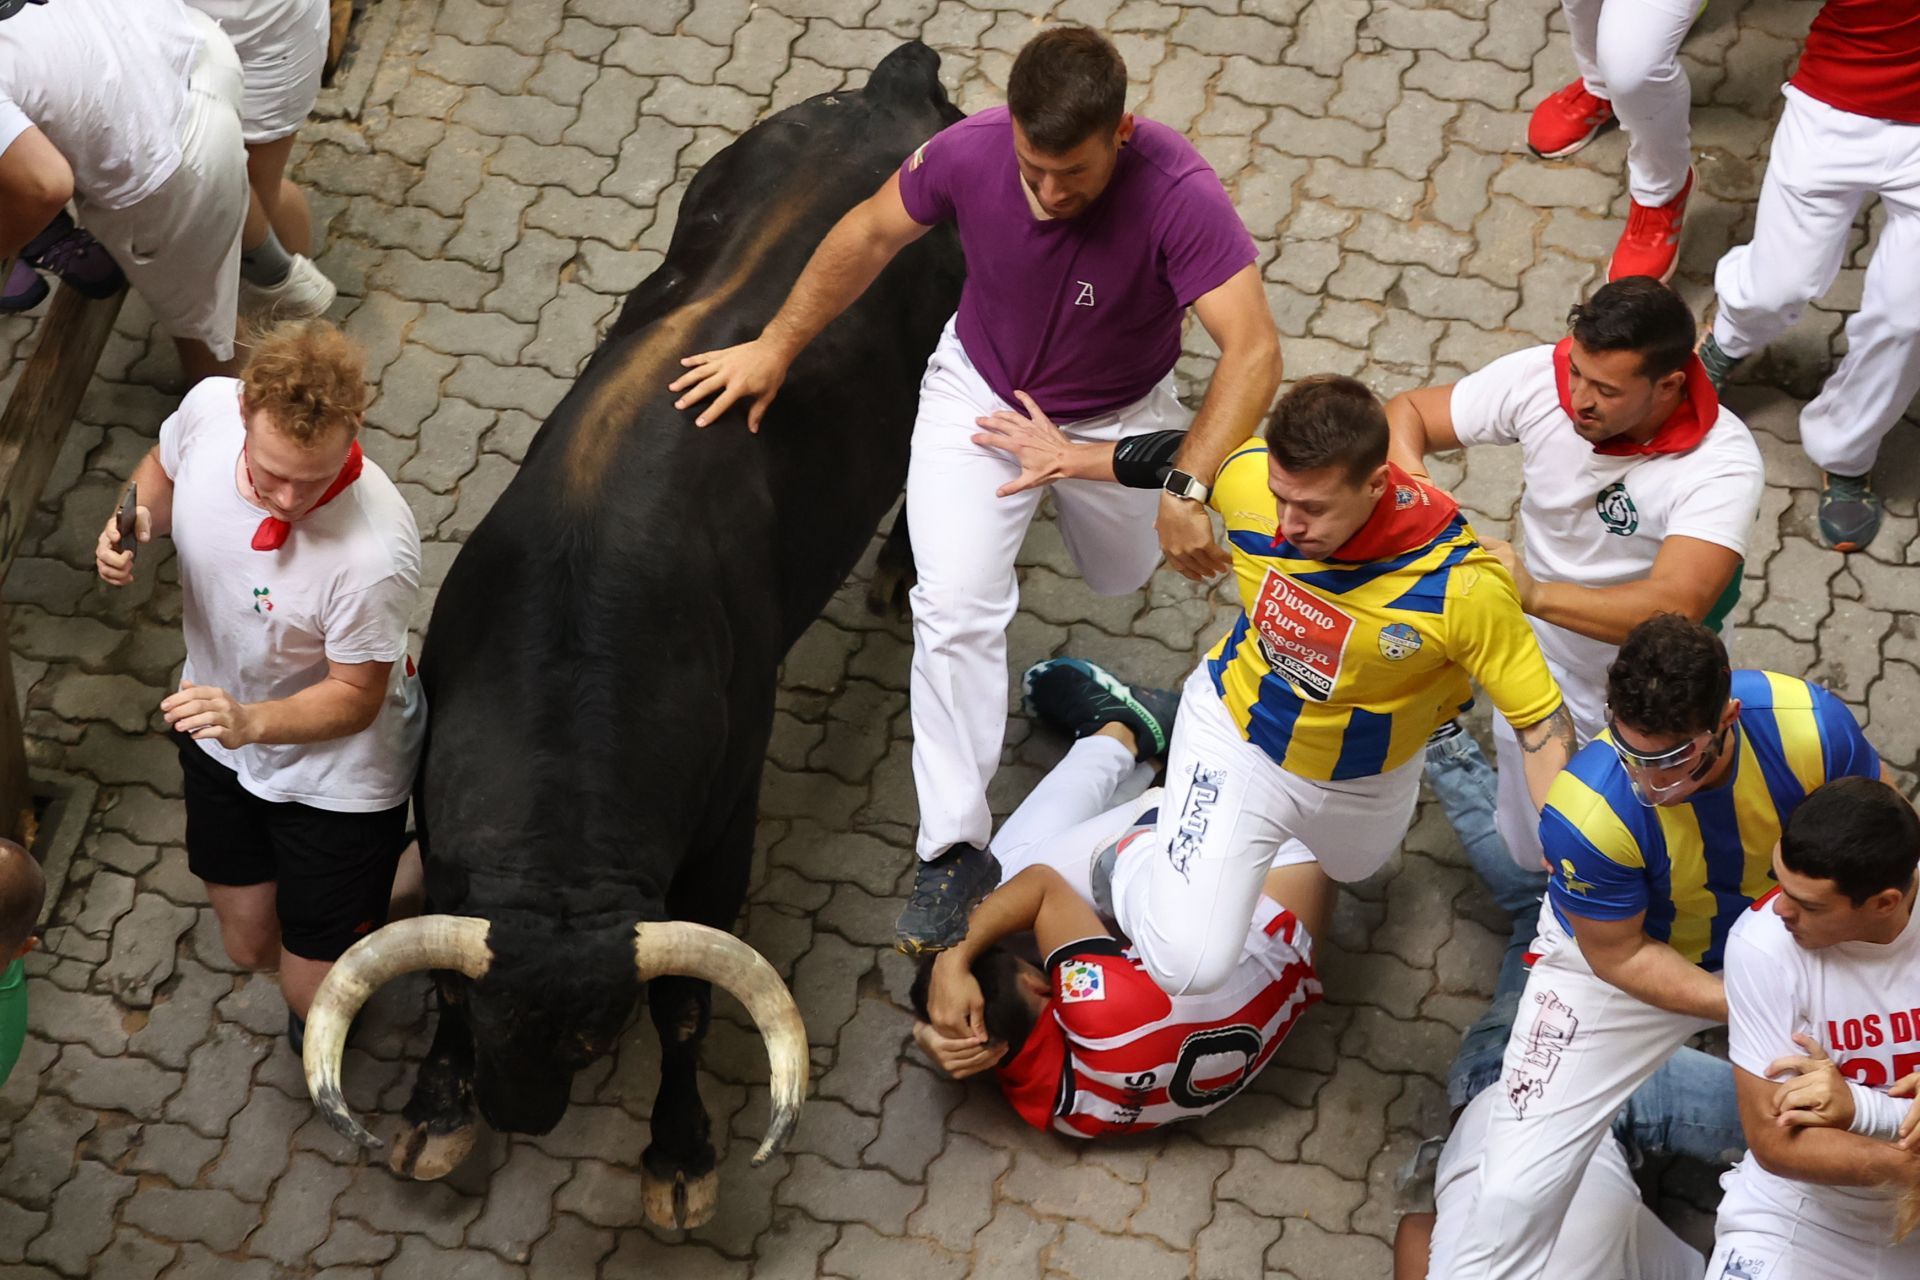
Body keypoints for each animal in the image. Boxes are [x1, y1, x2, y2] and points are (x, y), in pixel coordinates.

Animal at [94, 320, 424, 1051]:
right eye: (274, 476)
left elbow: (353, 690)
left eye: (313, 480)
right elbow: (160, 470)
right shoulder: (201, 410)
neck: (276, 511)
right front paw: (119, 541)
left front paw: (234, 718)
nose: (284, 503)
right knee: (253, 927)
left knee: (313, 960)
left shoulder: (377, 590)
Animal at [297, 42, 960, 1228]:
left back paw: (903, 569)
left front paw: (680, 1156)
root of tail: (895, 88)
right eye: (483, 1022)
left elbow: (687, 1004)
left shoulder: (723, 829)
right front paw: (434, 1114)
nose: (517, 1117)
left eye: (593, 1037)